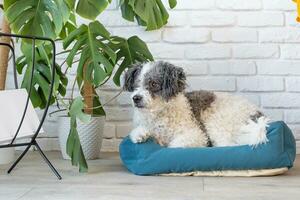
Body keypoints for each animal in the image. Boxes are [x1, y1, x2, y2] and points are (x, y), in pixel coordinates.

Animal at [123, 60, 270, 147]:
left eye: (153, 84)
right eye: (136, 85)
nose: (136, 98)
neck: (158, 113)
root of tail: (256, 113)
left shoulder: (196, 134)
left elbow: (175, 144)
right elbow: (140, 131)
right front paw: (141, 135)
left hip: (216, 122)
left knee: (229, 145)